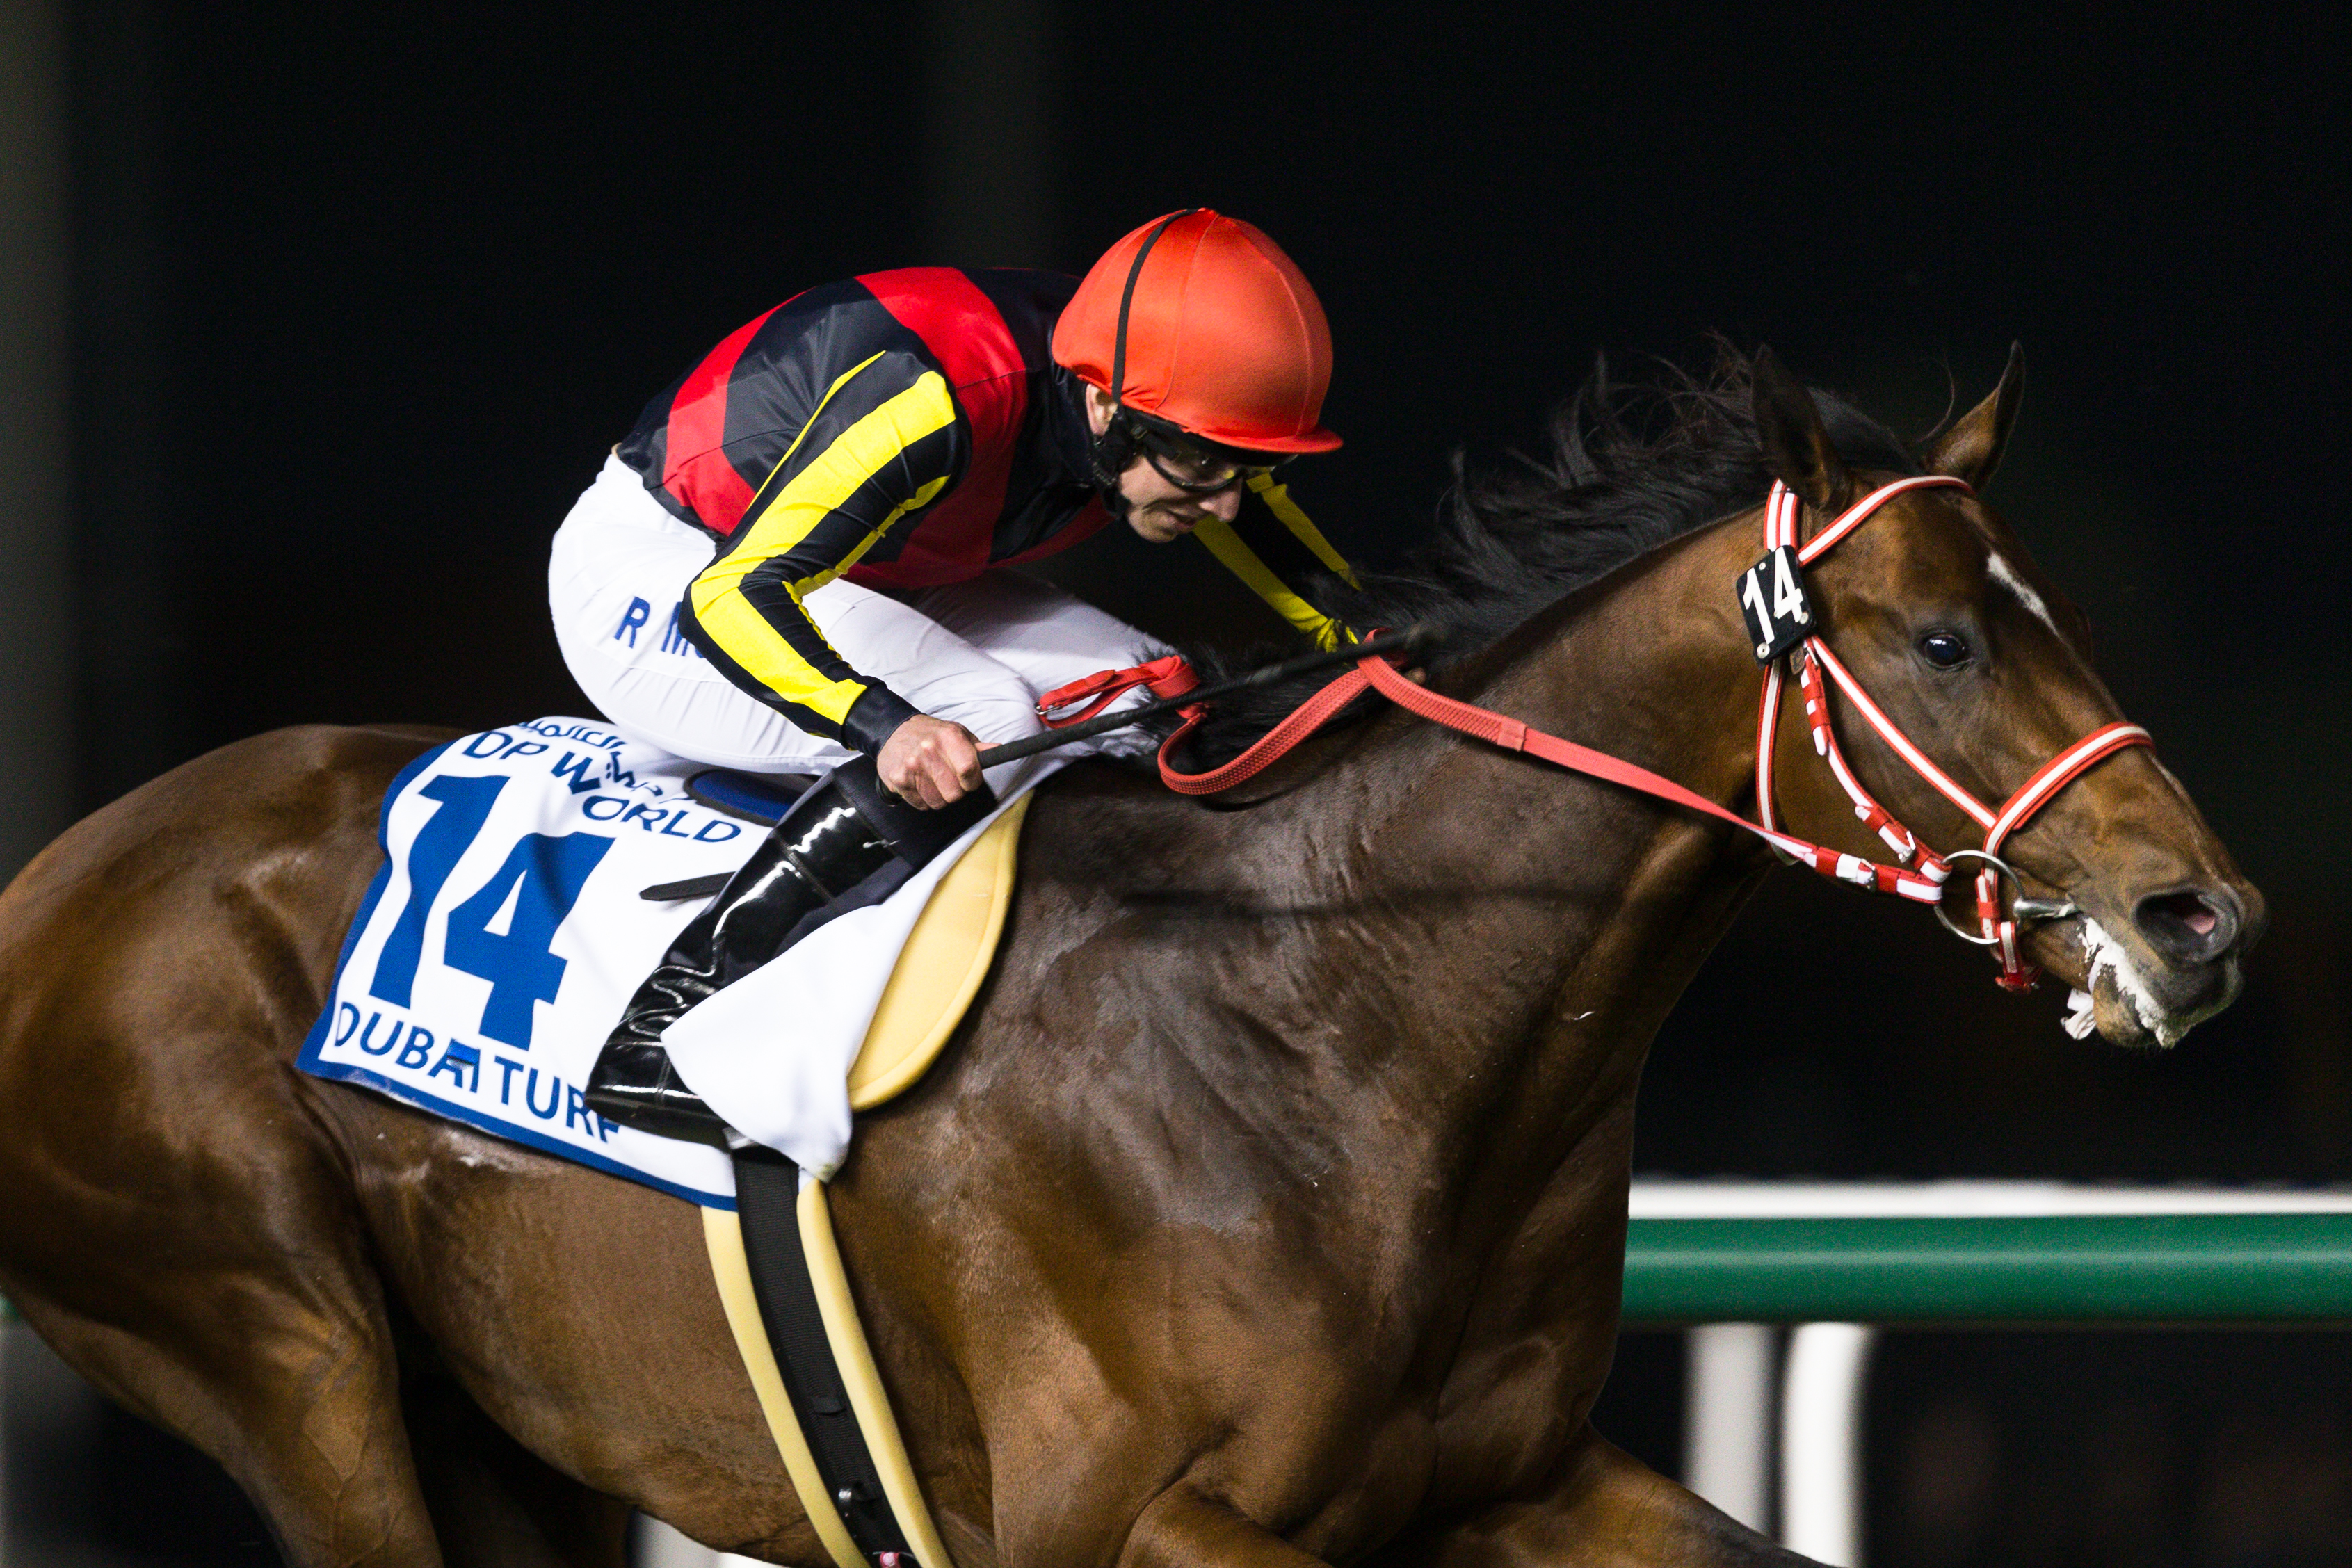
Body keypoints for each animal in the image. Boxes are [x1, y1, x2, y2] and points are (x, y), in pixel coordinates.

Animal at [0, 347, 2259, 1568]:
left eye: (2049, 611)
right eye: (1943, 639)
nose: (2200, 917)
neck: (1348, 1027)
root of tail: (58, 878)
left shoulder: (1502, 1482)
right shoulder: (1110, 1512)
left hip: (499, 1428)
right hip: (281, 1335)